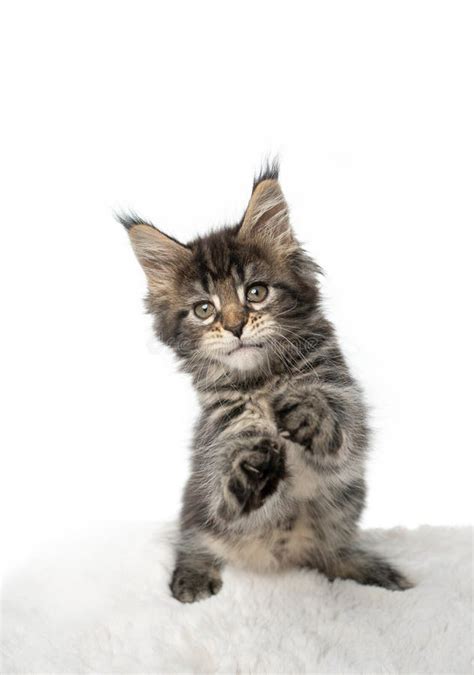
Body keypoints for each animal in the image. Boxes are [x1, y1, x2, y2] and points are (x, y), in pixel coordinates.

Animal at [119, 164, 412, 604]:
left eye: (256, 292)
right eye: (204, 310)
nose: (236, 325)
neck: (262, 381)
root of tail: (281, 563)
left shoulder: (344, 402)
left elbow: (337, 427)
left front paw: (308, 414)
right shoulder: (217, 445)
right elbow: (229, 498)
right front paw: (253, 469)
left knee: (333, 554)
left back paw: (375, 572)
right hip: (195, 510)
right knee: (196, 539)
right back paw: (193, 577)